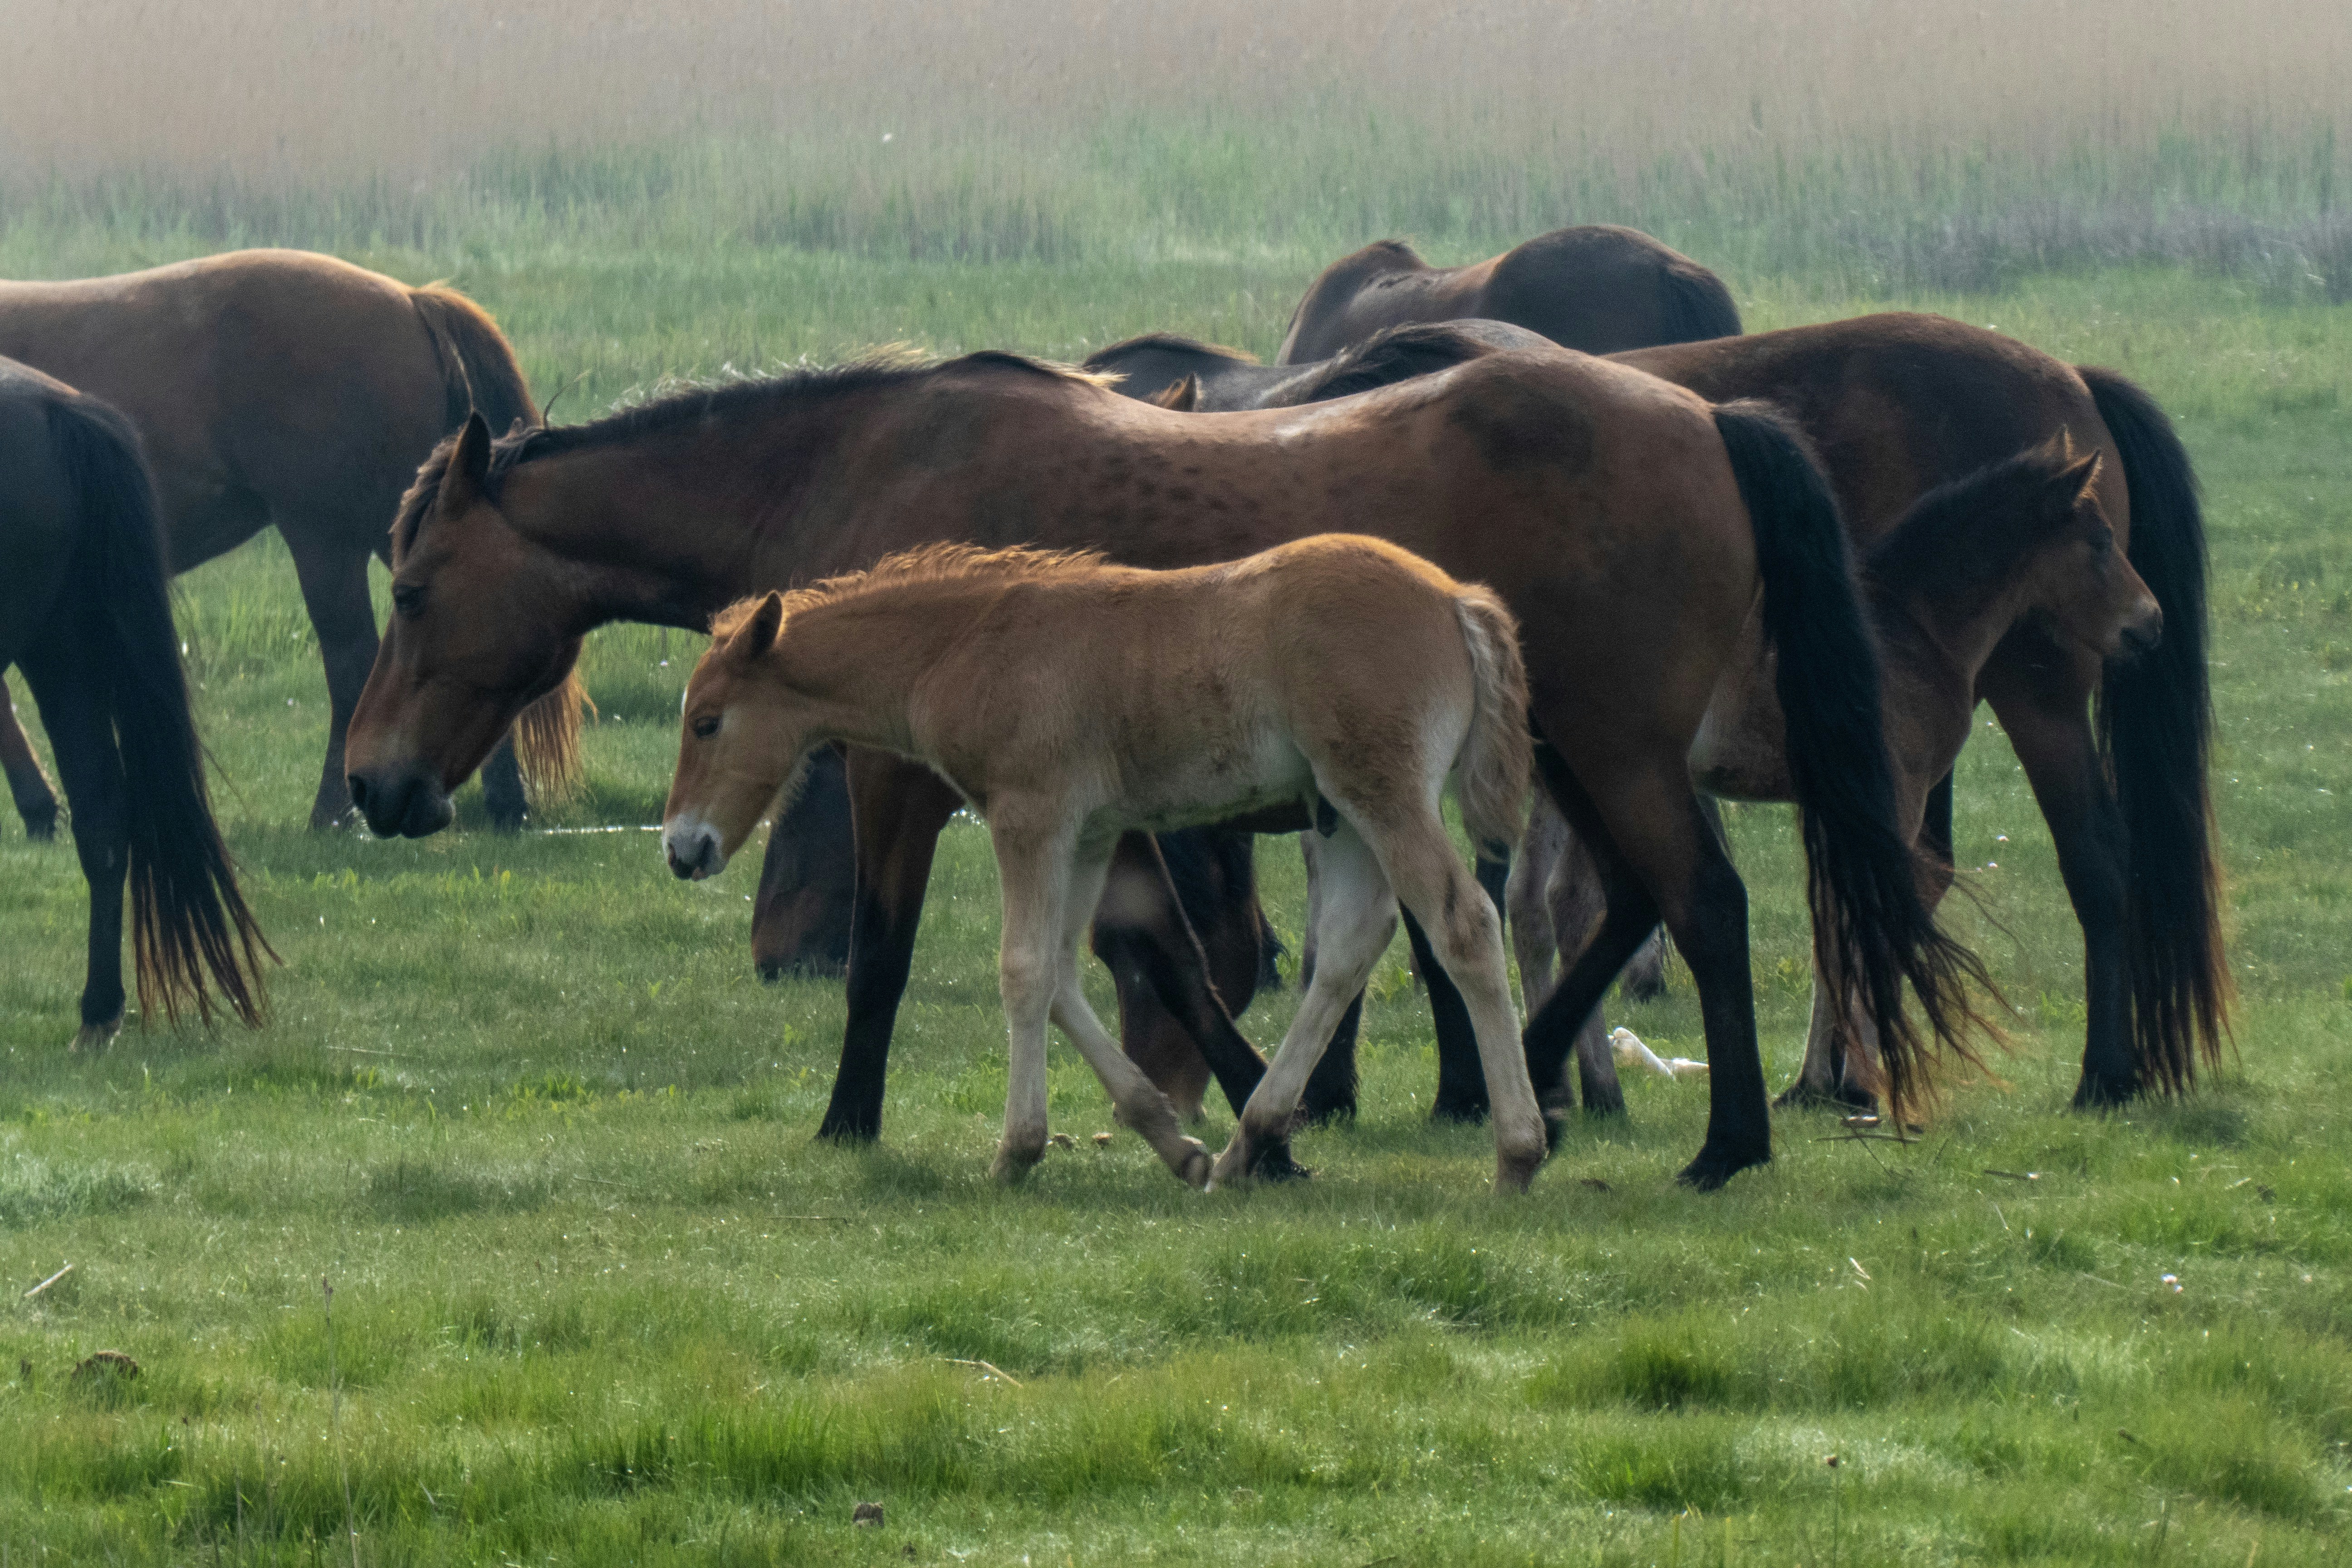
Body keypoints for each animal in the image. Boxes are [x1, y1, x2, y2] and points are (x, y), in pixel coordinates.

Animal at [661, 539, 1545, 1190]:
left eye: (706, 723)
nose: (680, 848)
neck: (965, 643)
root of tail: (1455, 599)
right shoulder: (1087, 834)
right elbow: (1058, 974)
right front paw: (1171, 1141)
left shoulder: (1030, 816)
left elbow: (1022, 970)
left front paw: (1016, 1151)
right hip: (1342, 811)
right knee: (1350, 947)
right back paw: (1246, 1145)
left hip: (1384, 795)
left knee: (1464, 924)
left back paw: (1517, 1154)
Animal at [1512, 437, 2160, 1111]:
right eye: (2101, 542)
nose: (2151, 623)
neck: (1913, 628)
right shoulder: (1895, 798)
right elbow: (1867, 919)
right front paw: (1860, 1081)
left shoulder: (1830, 807)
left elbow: (1829, 926)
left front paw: (1818, 1082)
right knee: (1573, 901)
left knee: (1558, 901)